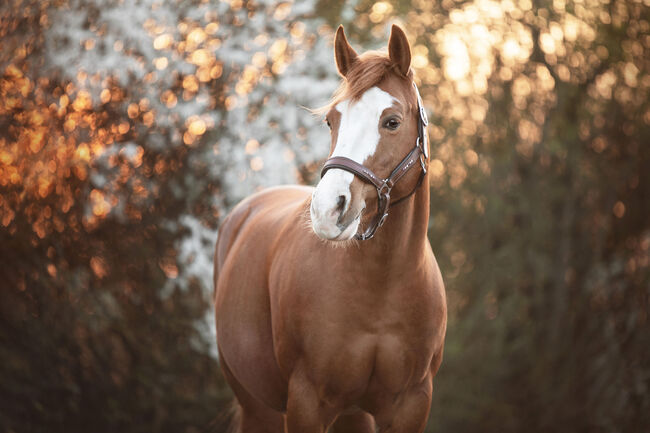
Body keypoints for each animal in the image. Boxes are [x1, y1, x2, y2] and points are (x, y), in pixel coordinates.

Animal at [213, 24, 446, 432]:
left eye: (391, 121)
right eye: (331, 120)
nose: (327, 209)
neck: (382, 287)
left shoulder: (411, 404)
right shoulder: (306, 402)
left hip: (352, 414)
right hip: (258, 406)